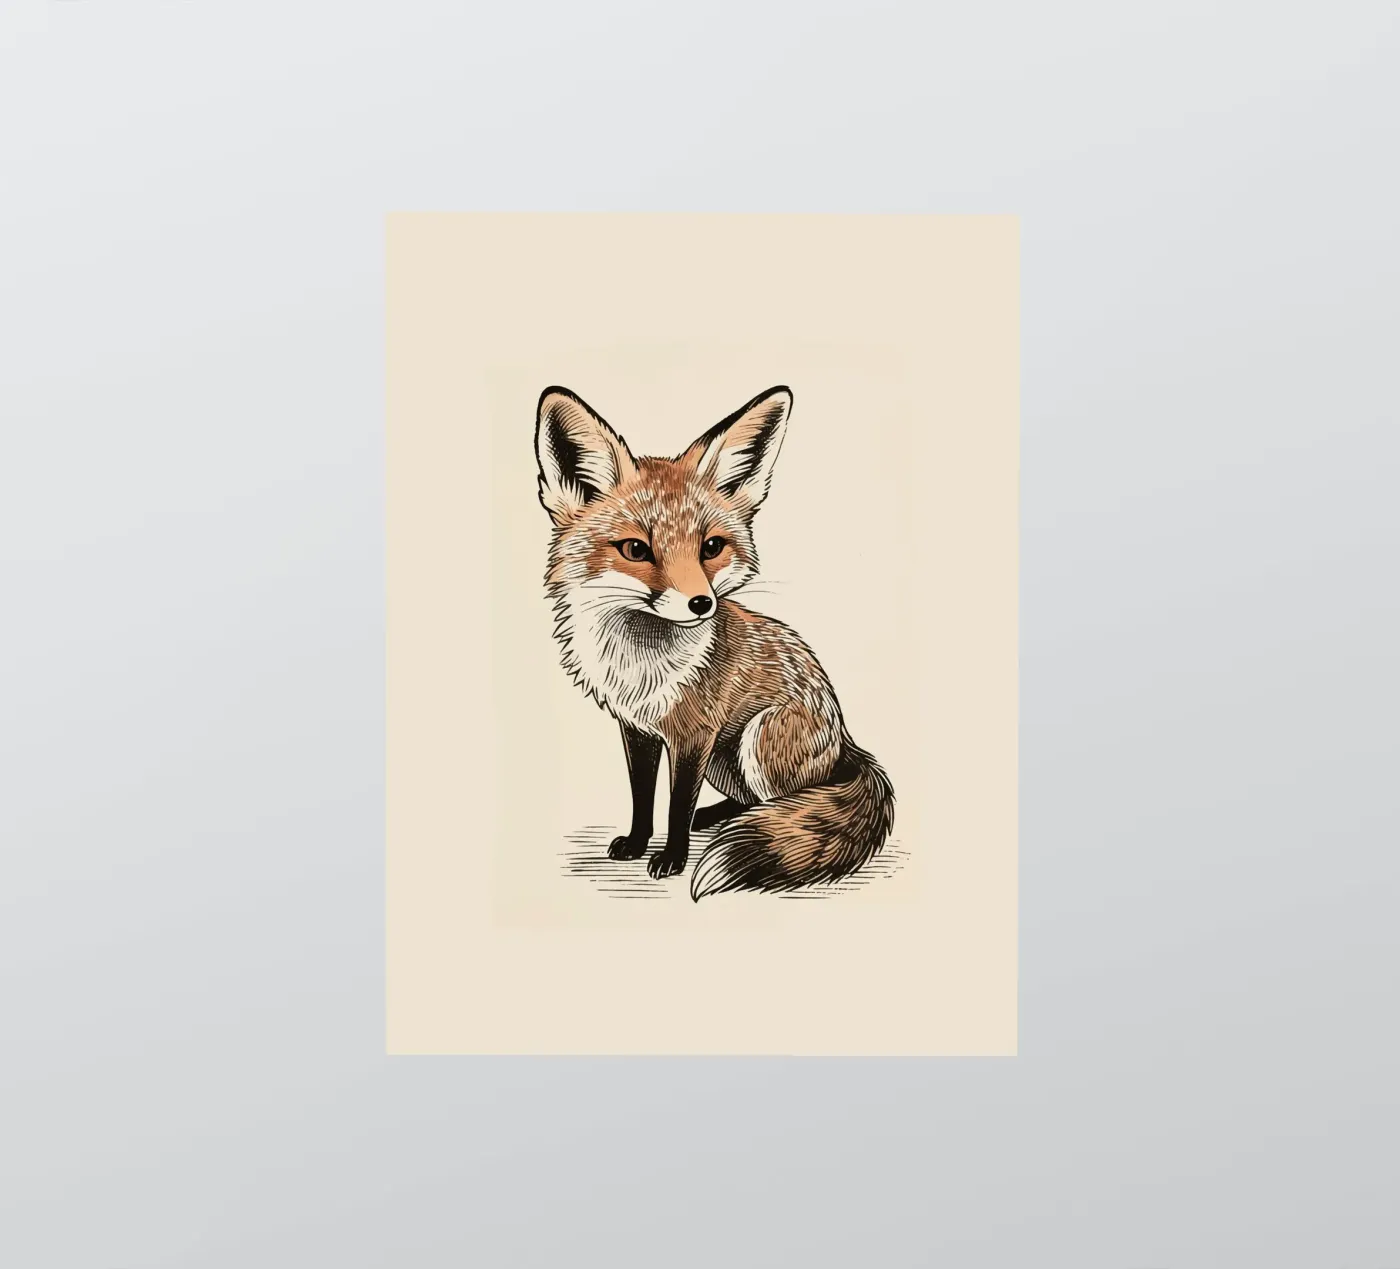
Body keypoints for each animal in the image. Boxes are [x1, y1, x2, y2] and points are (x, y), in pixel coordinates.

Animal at [534, 384, 895, 900]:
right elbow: (643, 796)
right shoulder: (638, 730)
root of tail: (846, 740)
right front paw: (638, 844)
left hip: (756, 738)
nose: (701, 603)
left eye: (711, 547)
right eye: (636, 549)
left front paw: (672, 858)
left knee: (790, 804)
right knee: (753, 801)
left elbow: (677, 804)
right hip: (728, 761)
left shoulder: (695, 734)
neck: (641, 665)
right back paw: (719, 817)